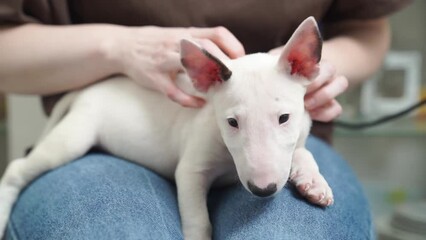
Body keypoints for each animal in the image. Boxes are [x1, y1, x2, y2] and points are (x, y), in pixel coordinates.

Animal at [0, 16, 332, 238]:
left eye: (284, 118)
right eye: (232, 122)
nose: (263, 190)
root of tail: (87, 90)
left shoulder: (295, 140)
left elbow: (303, 153)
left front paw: (314, 183)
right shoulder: (190, 171)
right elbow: (198, 218)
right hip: (74, 137)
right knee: (17, 169)